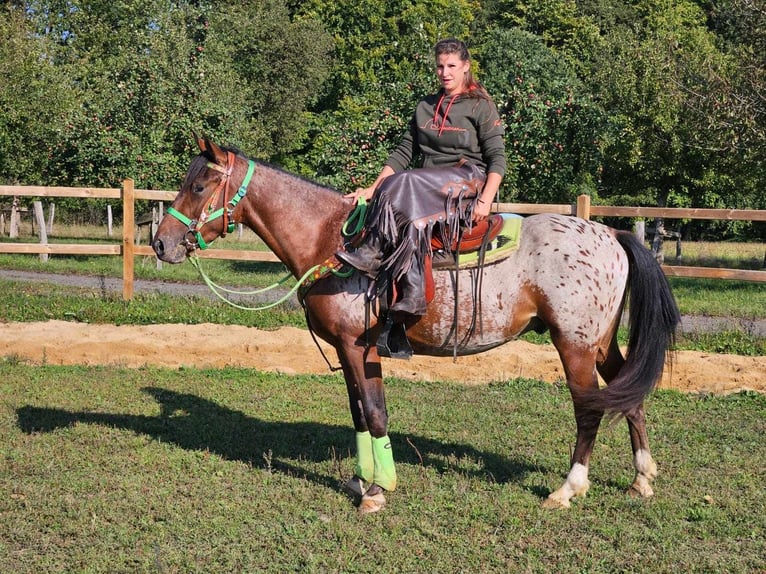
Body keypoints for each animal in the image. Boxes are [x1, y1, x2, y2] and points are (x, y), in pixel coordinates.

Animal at [153, 136, 680, 516]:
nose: (162, 243)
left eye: (198, 187)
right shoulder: (348, 350)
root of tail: (610, 232)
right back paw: (641, 478)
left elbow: (375, 412)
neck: (333, 241)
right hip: (600, 343)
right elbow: (359, 414)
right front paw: (362, 479)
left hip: (573, 345)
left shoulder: (358, 347)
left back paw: (568, 489)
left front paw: (378, 491)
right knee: (627, 393)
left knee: (589, 410)